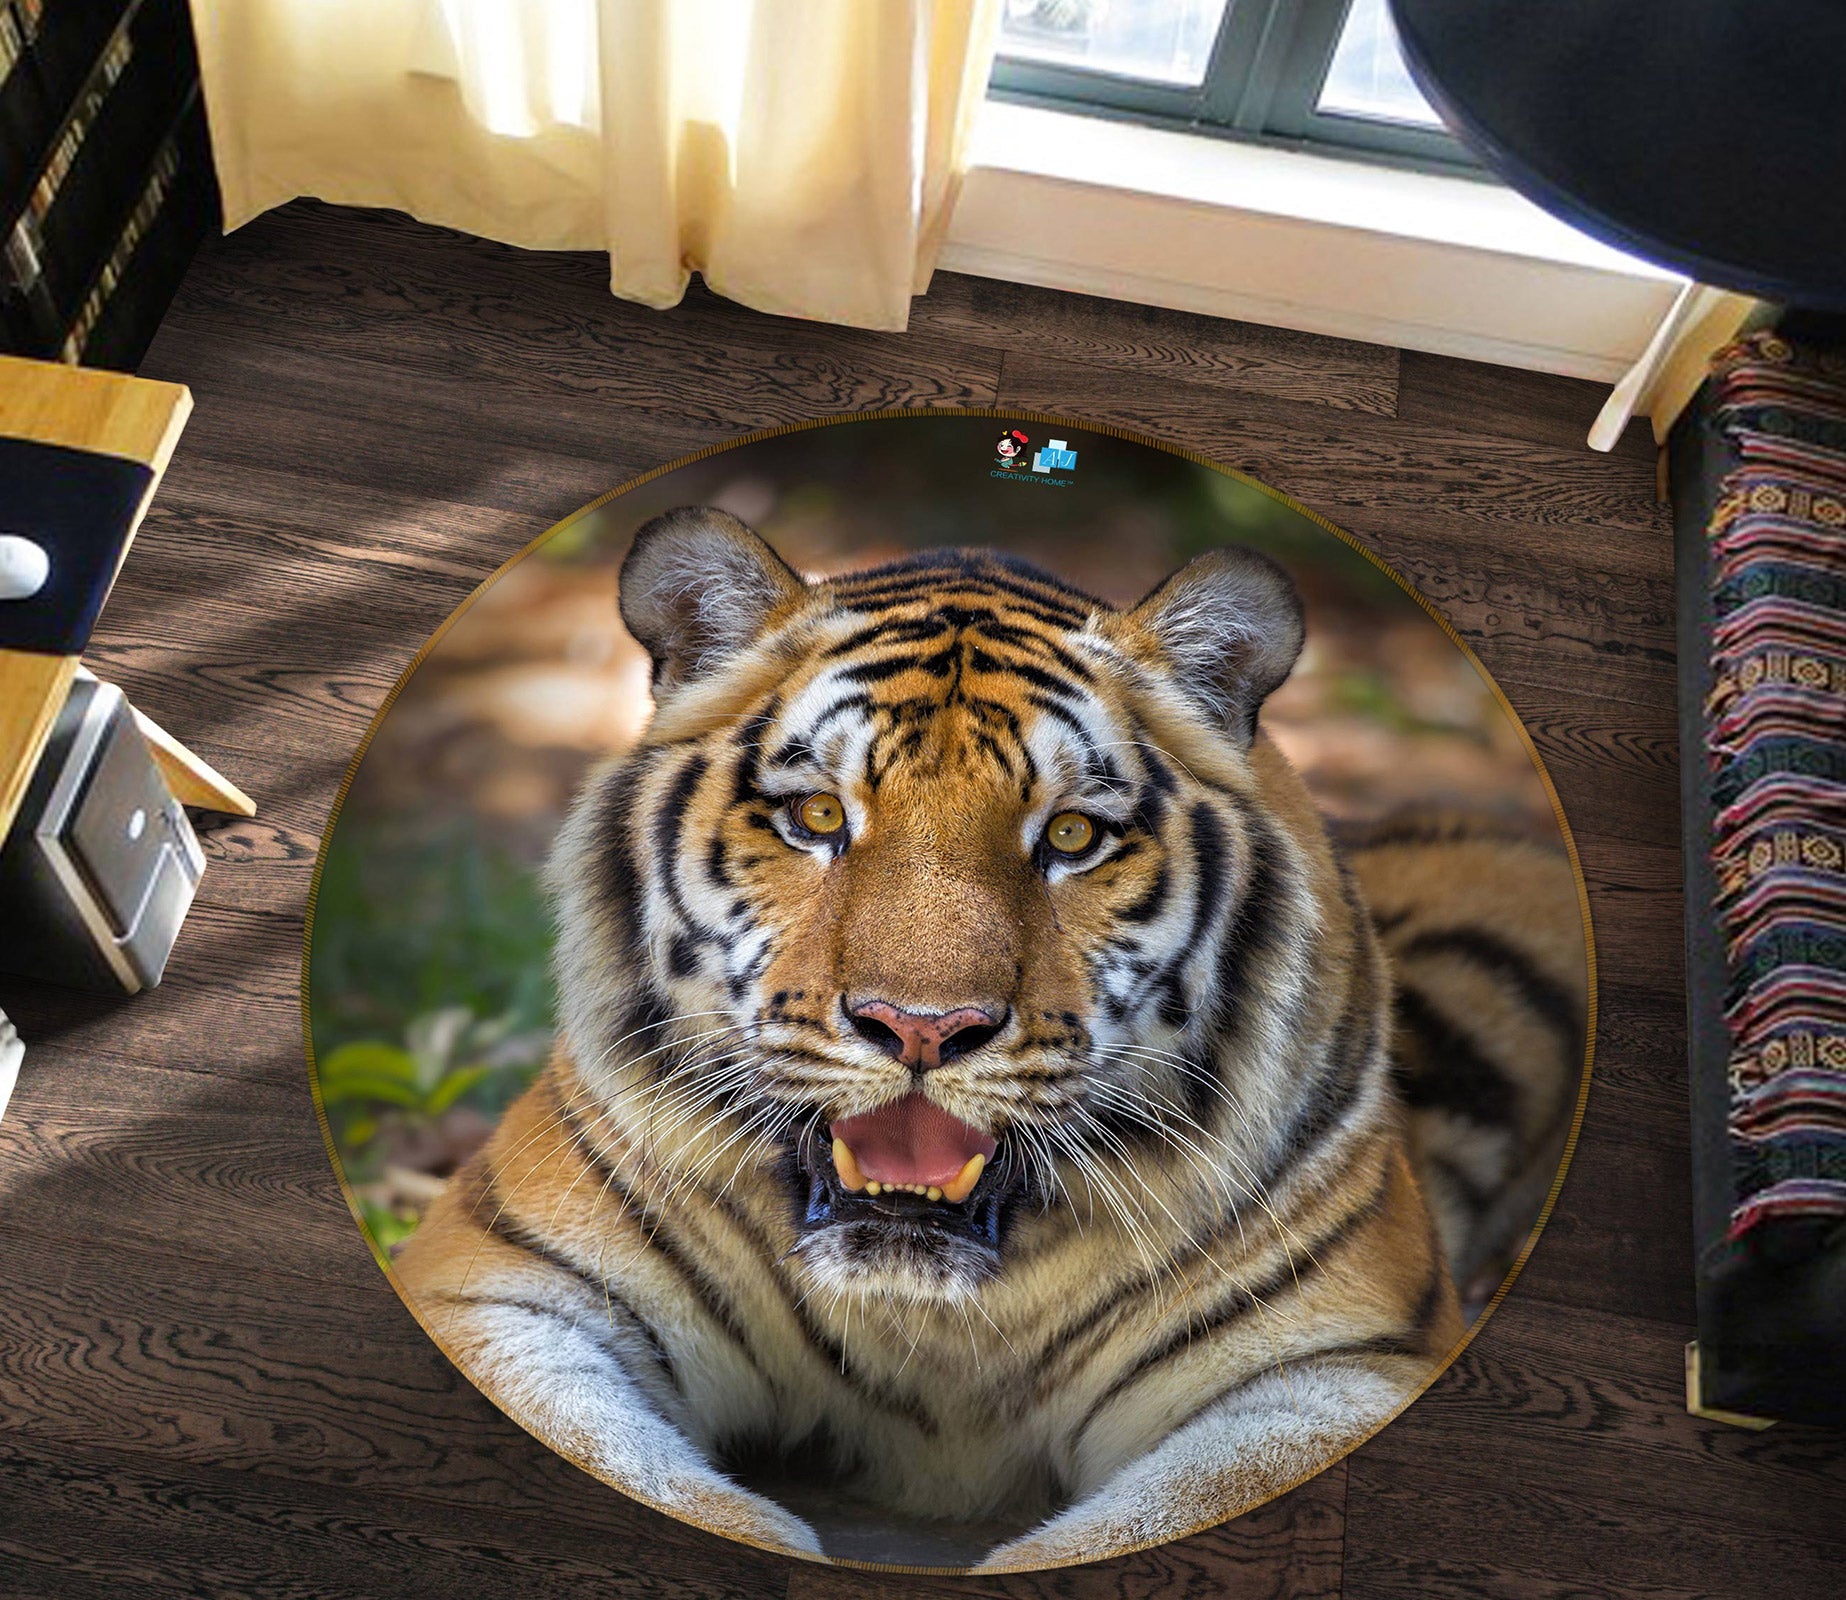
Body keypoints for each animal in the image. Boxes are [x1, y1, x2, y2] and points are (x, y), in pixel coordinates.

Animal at [395, 507, 1585, 1570]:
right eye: (817, 817)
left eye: (1071, 835)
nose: (922, 1028)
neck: (930, 1322)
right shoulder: (506, 1284)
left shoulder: (1329, 1369)